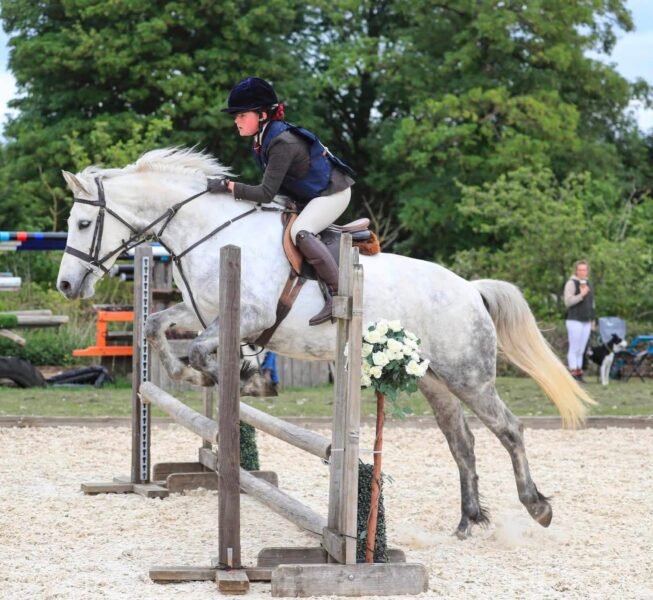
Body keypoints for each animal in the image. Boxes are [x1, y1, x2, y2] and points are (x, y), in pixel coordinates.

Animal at [57, 147, 594, 538]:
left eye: (82, 224)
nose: (66, 285)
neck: (206, 231)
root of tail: (470, 289)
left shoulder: (249, 315)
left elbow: (202, 348)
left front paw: (231, 372)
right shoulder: (200, 311)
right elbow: (155, 326)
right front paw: (195, 374)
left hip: (469, 376)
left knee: (509, 430)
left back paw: (537, 507)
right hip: (435, 381)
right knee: (461, 441)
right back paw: (469, 520)